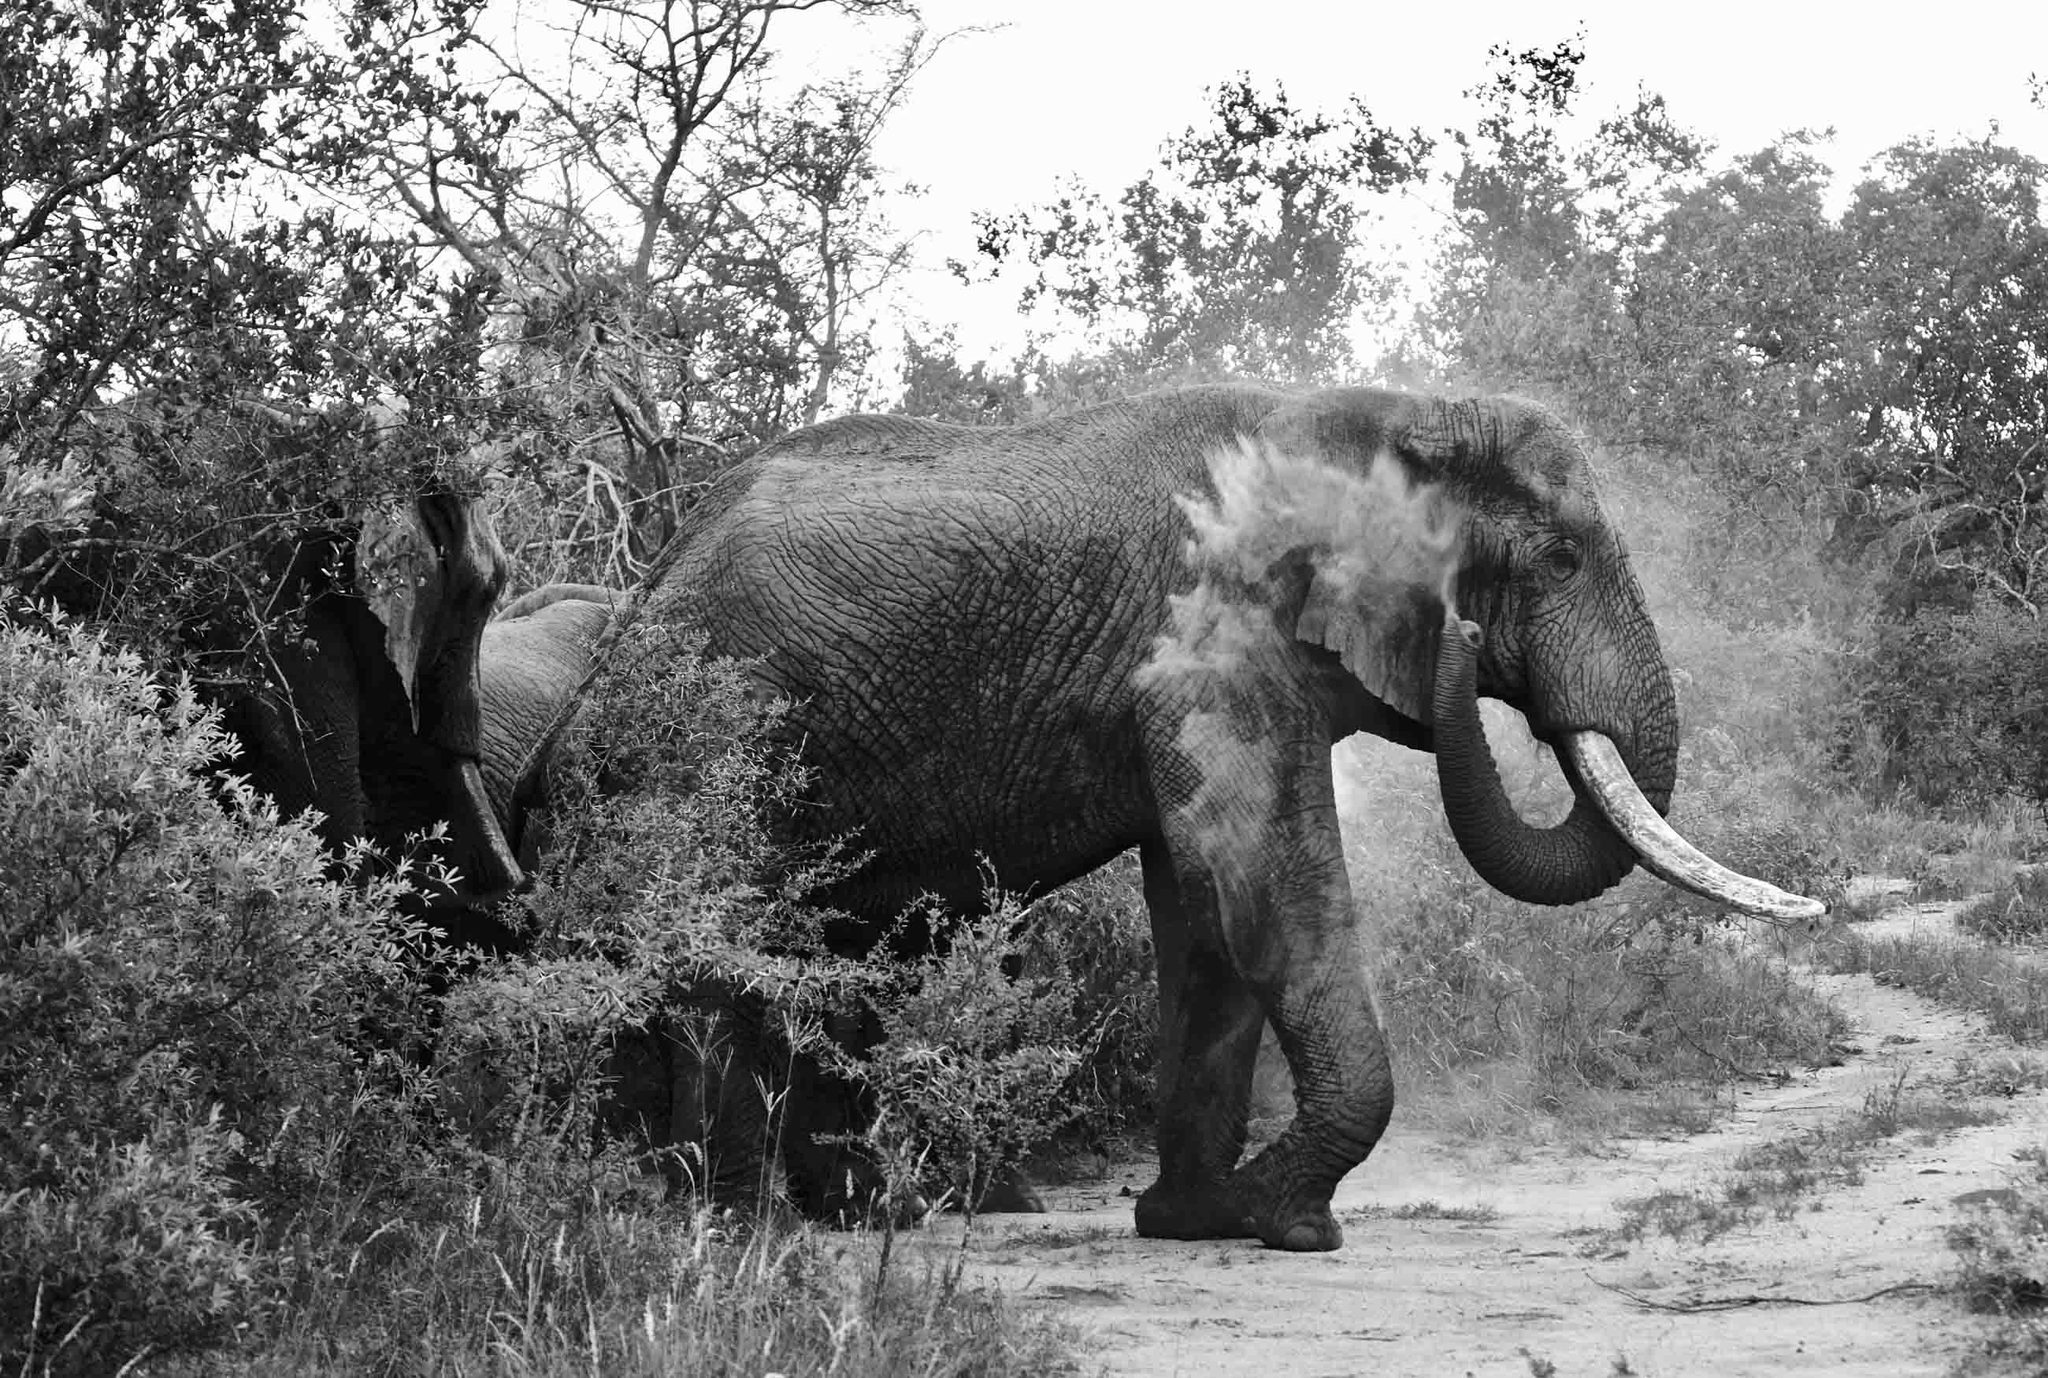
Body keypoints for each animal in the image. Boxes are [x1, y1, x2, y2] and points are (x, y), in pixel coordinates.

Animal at [604, 382, 1823, 1252]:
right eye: (1560, 559)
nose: (1465, 638)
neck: (1373, 414)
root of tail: (654, 564)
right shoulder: (1212, 636)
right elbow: (1264, 888)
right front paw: (1287, 1223)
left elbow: (1205, 920)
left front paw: (1191, 1221)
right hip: (730, 722)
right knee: (725, 950)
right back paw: (732, 1219)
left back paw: (859, 1214)